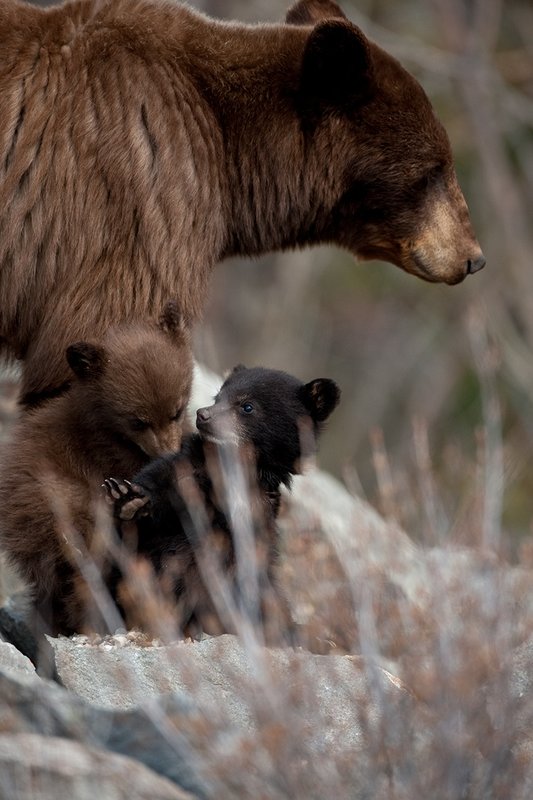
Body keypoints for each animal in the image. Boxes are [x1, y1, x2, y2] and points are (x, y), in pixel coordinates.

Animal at [104, 365, 340, 643]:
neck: (232, 470)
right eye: (218, 397)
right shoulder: (185, 473)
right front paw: (127, 498)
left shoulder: (258, 512)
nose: (202, 414)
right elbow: (157, 485)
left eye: (247, 406)